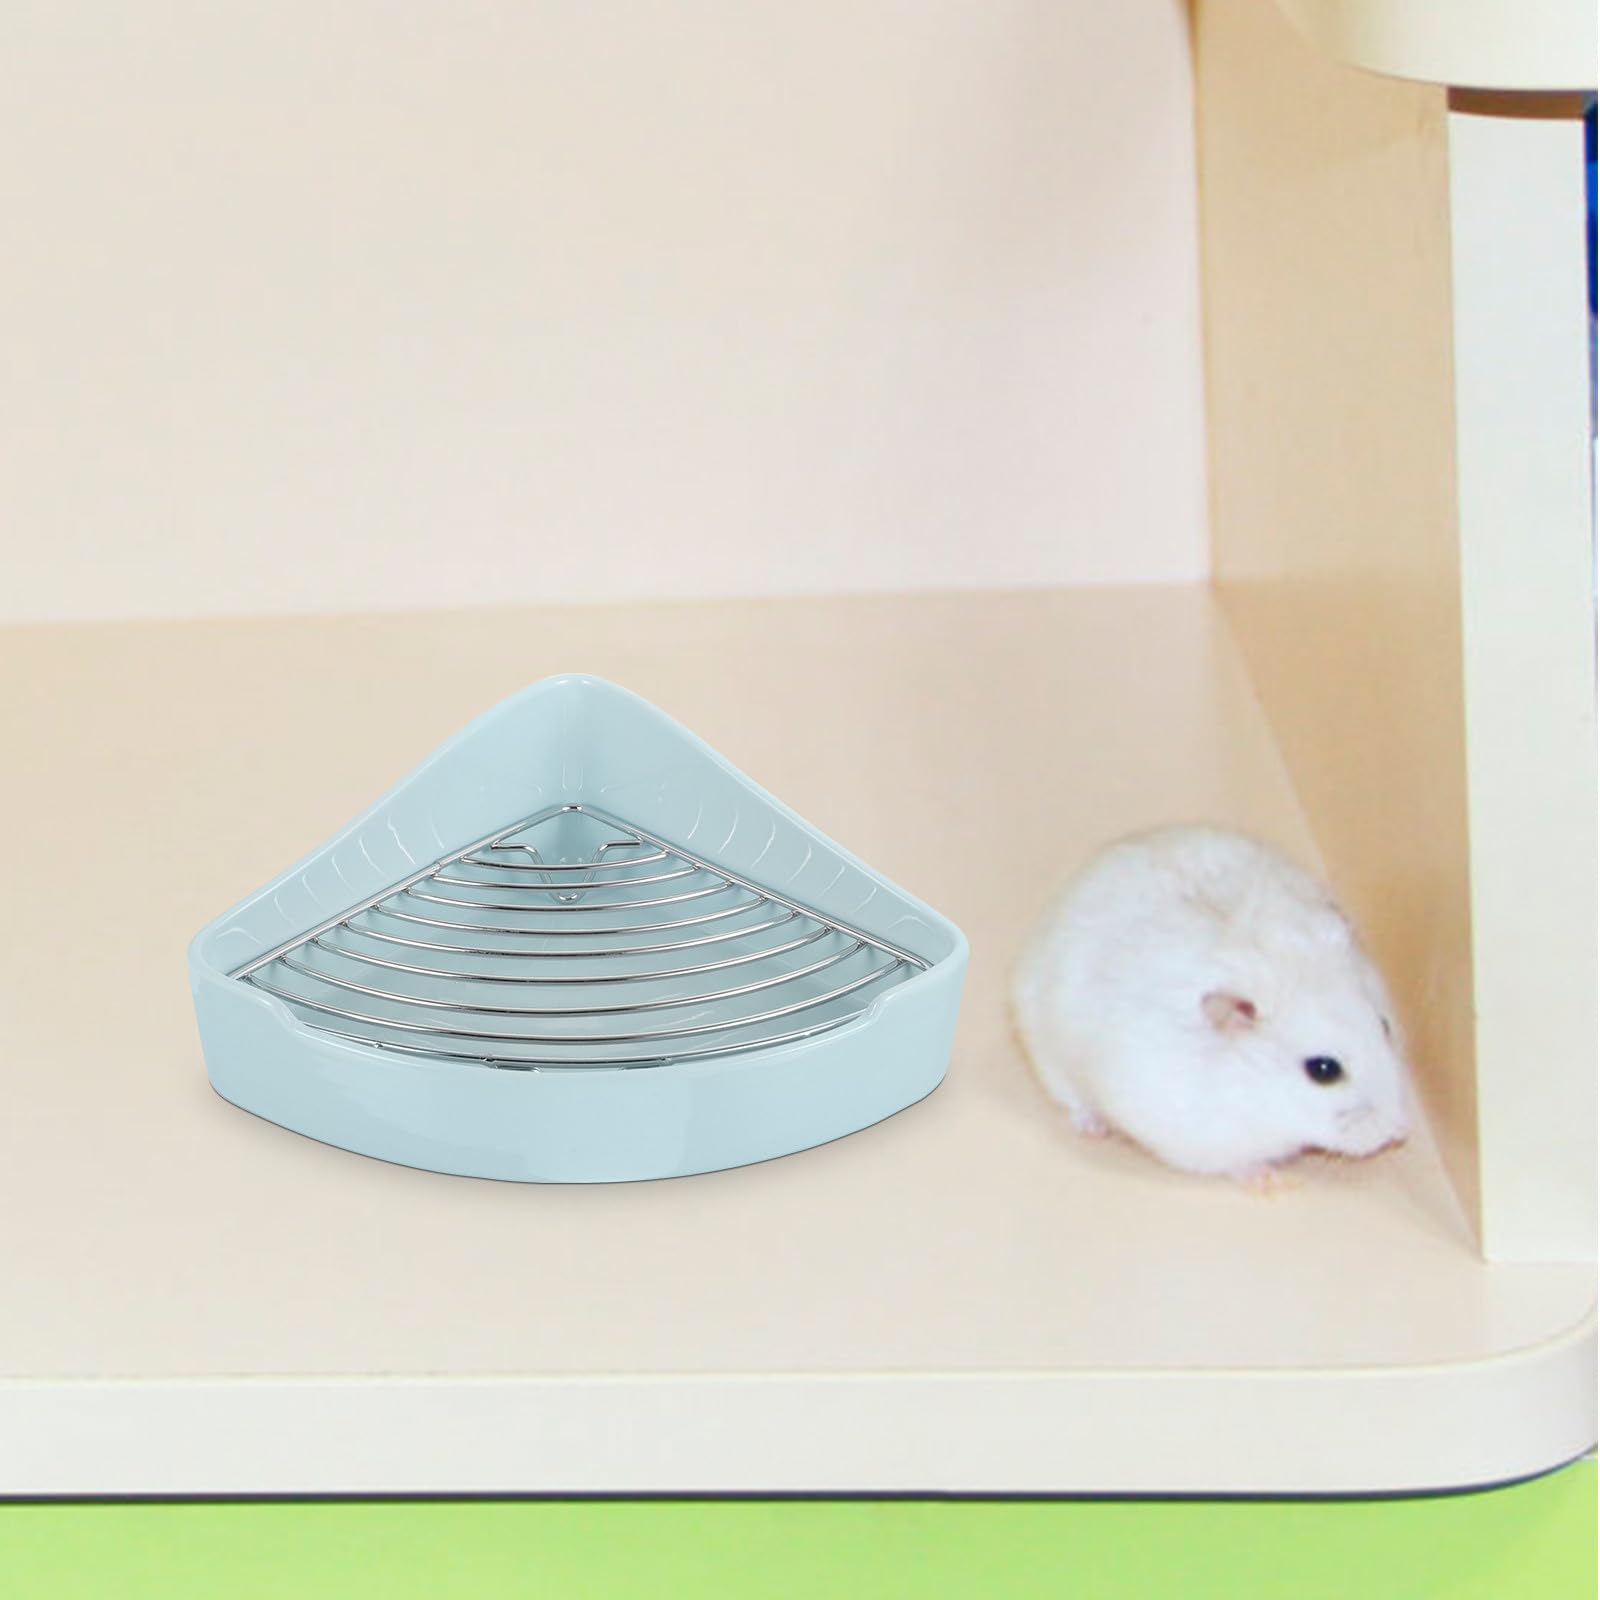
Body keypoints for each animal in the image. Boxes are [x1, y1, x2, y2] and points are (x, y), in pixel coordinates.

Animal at [1011, 825, 1411, 1182]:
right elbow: (1233, 1163)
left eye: (1385, 1026)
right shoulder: (1194, 1133)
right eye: (1323, 1070)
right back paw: (1094, 1127)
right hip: (1050, 1054)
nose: (1399, 1133)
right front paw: (1271, 1181)